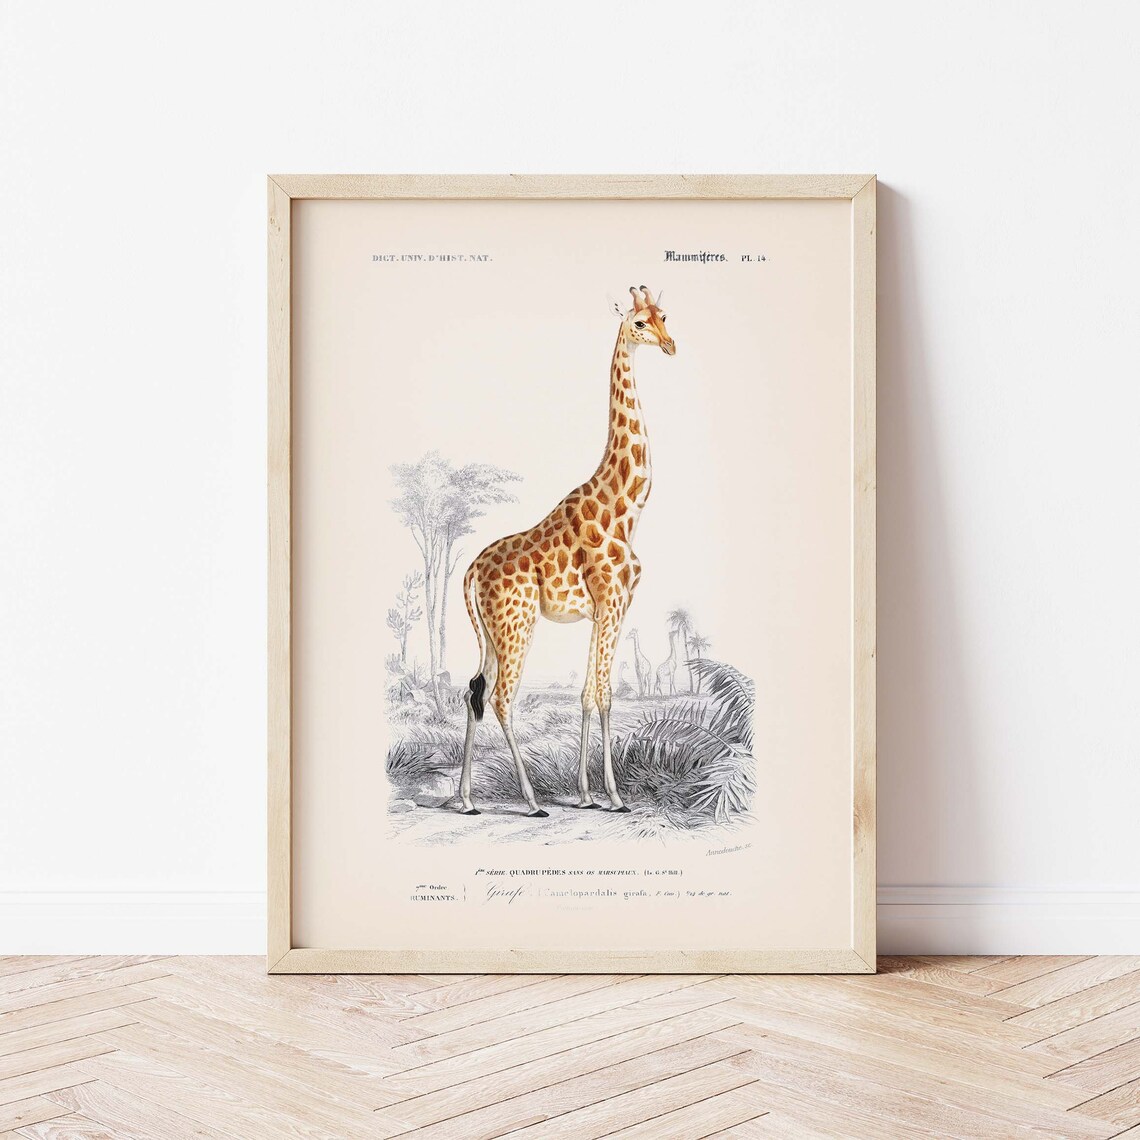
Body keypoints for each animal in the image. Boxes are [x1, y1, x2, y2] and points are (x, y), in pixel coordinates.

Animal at [458, 286, 676, 816]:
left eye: (665, 316)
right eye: (639, 323)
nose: (670, 345)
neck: (626, 508)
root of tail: (470, 572)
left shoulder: (603, 611)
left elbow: (586, 694)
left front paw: (586, 794)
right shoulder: (614, 603)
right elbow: (606, 694)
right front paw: (614, 797)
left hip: (492, 633)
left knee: (473, 690)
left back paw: (466, 800)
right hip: (517, 626)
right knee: (500, 698)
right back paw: (533, 801)